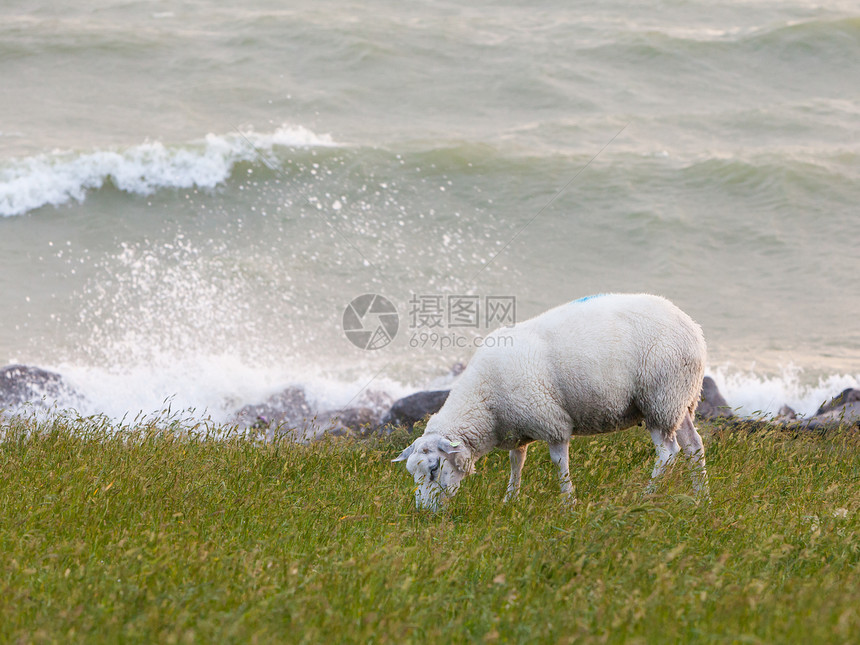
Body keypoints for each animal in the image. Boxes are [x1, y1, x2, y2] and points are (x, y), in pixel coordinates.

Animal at [394, 292, 708, 508]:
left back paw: (645, 495)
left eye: (434, 469)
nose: (424, 513)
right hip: (680, 400)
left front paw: (568, 503)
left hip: (660, 398)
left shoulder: (552, 422)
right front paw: (510, 499)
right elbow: (516, 463)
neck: (484, 404)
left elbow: (559, 464)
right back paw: (700, 496)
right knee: (693, 446)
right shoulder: (517, 427)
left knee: (668, 452)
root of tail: (694, 329)